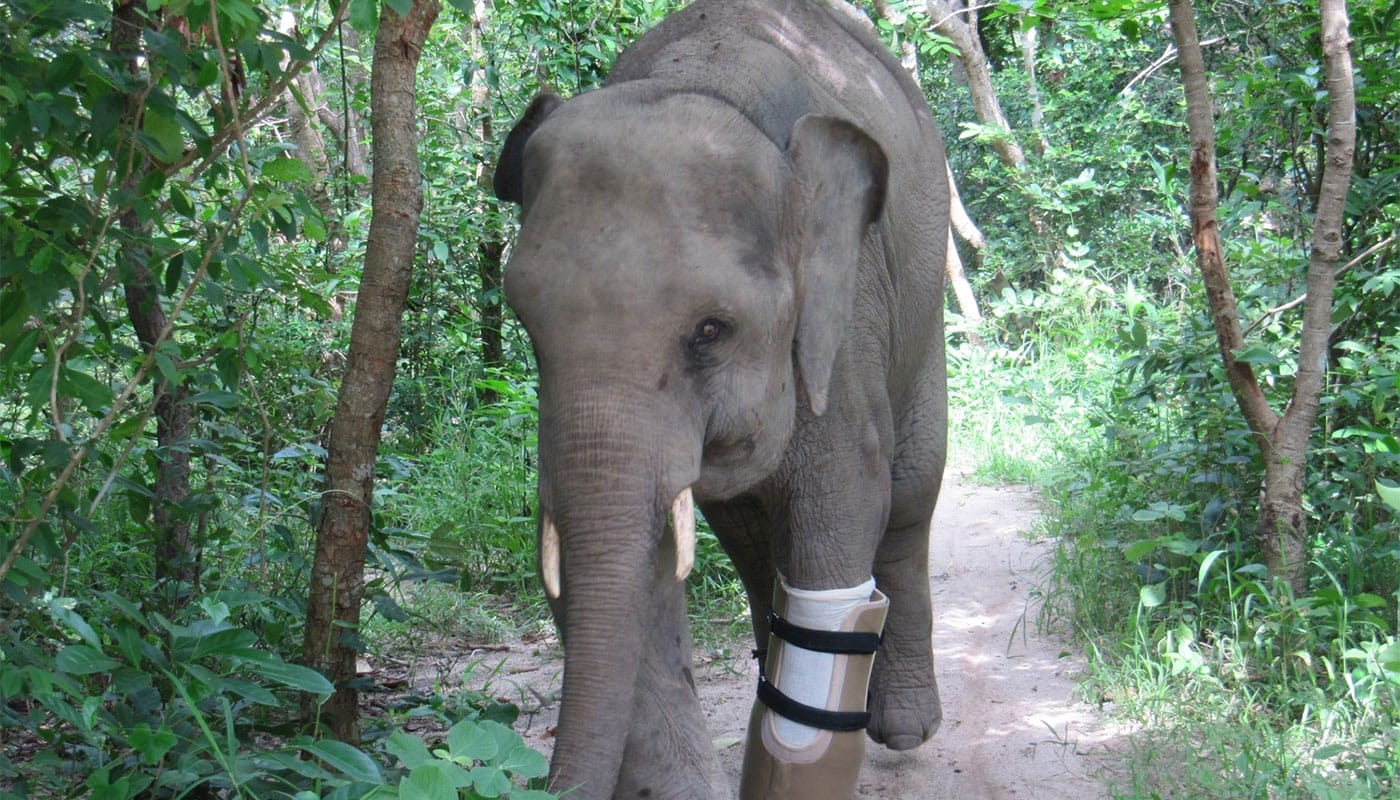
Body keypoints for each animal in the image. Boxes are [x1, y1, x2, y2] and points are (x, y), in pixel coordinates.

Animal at [492, 1, 949, 797]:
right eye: (525, 322)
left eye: (711, 330)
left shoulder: (843, 324)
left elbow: (843, 509)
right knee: (749, 537)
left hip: (925, 309)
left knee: (910, 495)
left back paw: (903, 730)